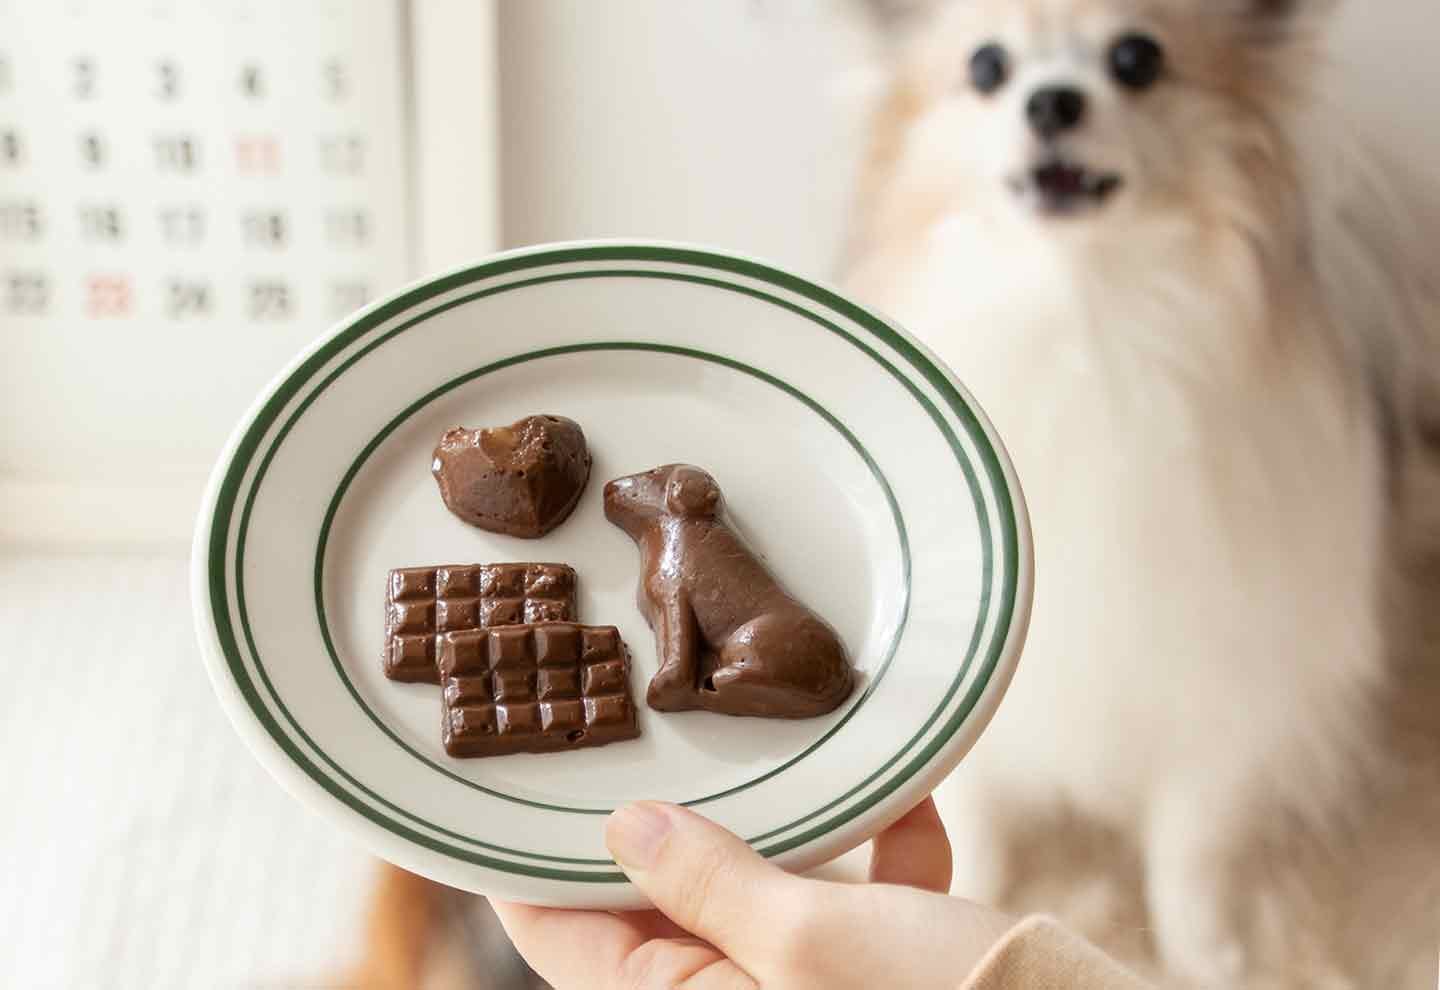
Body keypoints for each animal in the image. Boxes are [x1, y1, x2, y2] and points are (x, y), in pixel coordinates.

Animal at [846, 0, 1440, 984]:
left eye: (1135, 59)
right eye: (986, 67)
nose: (1052, 101)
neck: (1082, 323)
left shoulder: (1214, 695)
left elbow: (1186, 855)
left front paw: (1211, 957)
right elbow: (975, 820)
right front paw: (959, 893)